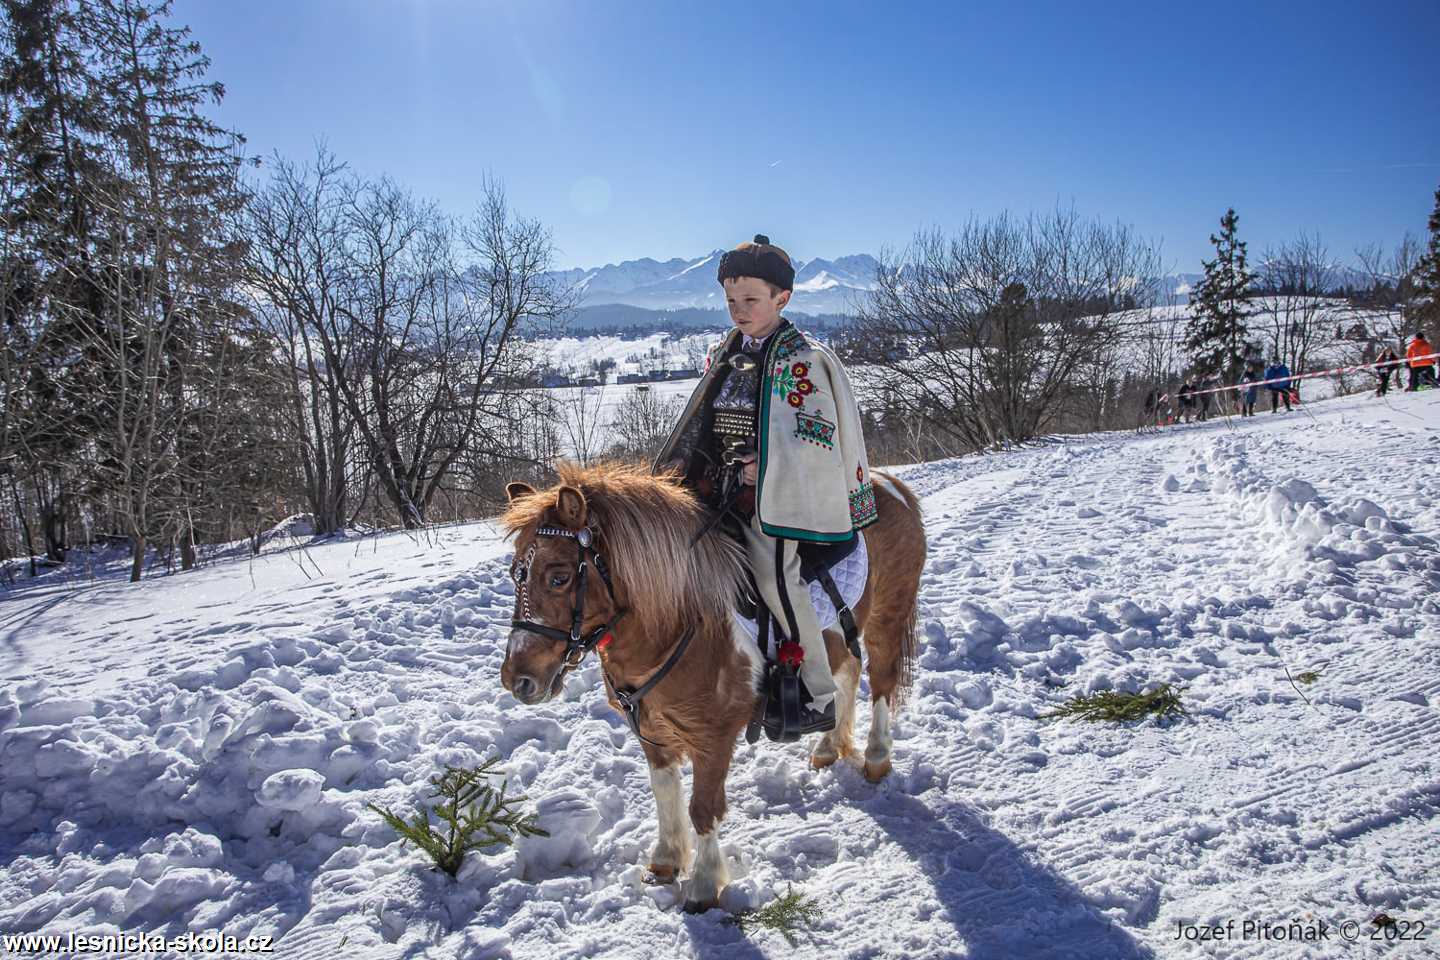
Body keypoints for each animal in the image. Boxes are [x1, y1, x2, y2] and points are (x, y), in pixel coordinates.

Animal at [498, 466, 921, 915]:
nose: (517, 678)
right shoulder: (652, 734)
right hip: (842, 634)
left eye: (559, 577)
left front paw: (703, 886)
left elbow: (702, 809)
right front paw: (666, 861)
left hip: (887, 617)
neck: (678, 623)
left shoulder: (713, 739)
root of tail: (888, 482)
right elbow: (665, 792)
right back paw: (828, 746)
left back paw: (876, 756)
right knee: (847, 675)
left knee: (881, 682)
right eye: (515, 574)